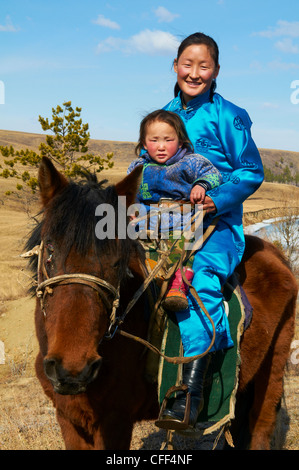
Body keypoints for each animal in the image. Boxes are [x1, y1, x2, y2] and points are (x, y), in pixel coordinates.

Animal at [25, 156, 298, 450]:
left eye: (117, 261)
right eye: (50, 250)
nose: (73, 369)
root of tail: (275, 253)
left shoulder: (114, 422)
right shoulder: (69, 419)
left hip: (271, 372)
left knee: (261, 427)